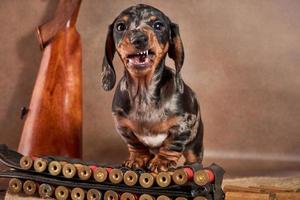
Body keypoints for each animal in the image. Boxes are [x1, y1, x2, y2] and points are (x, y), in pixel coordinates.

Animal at [101, 3, 204, 172]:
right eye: (120, 26)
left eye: (158, 25)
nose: (139, 39)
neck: (144, 93)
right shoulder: (123, 126)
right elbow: (135, 144)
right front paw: (138, 158)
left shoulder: (182, 125)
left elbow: (171, 144)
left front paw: (163, 161)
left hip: (195, 146)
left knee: (194, 158)